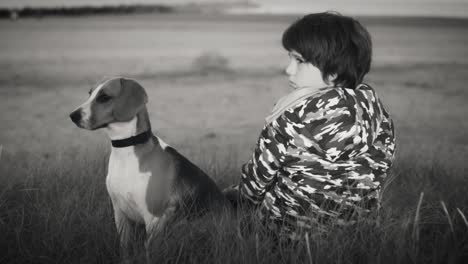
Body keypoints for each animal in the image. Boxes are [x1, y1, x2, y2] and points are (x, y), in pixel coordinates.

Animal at [68, 77, 227, 260]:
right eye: (90, 93)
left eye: (104, 97)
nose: (73, 115)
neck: (126, 150)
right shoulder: (120, 214)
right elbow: (125, 248)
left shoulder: (153, 219)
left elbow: (149, 251)